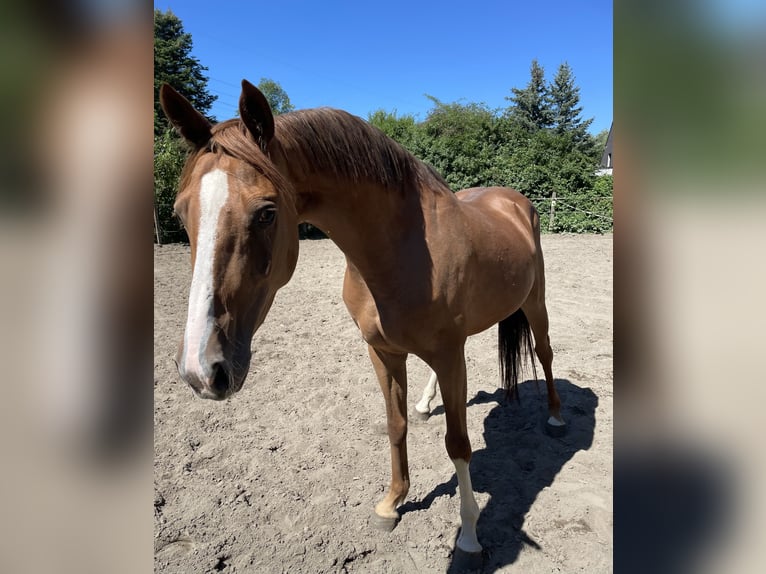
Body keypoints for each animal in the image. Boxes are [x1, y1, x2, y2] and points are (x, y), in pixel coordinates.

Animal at [160, 81, 564, 568]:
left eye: (267, 212)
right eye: (180, 213)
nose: (201, 370)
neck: (402, 250)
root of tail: (514, 201)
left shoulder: (449, 354)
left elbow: (458, 444)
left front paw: (468, 535)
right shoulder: (383, 351)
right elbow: (396, 425)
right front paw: (392, 503)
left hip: (535, 304)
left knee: (545, 353)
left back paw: (556, 417)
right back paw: (427, 402)